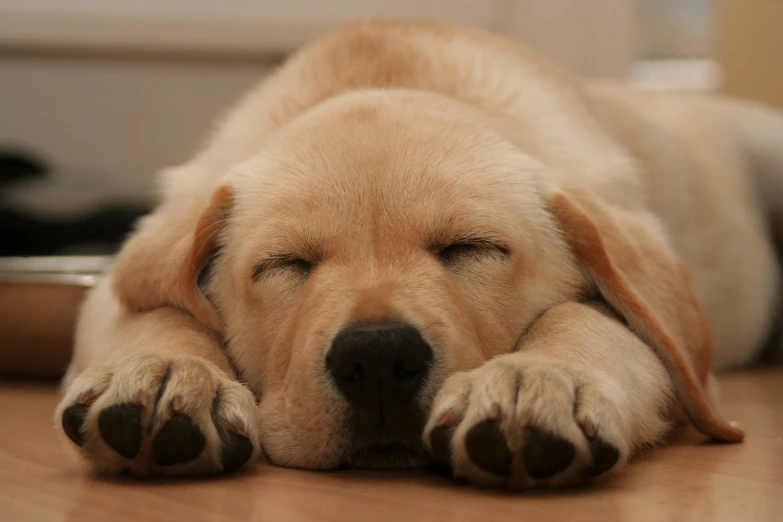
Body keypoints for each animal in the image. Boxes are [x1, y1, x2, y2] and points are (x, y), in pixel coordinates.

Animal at [55, 18, 783, 486]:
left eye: (471, 248)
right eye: (286, 264)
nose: (377, 358)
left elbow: (591, 320)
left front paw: (538, 378)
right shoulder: (123, 276)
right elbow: (160, 311)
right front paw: (164, 373)